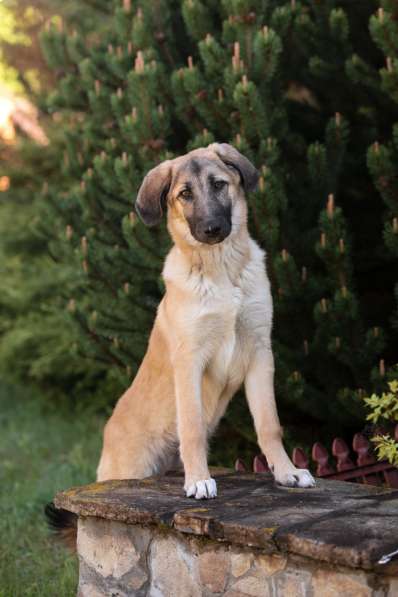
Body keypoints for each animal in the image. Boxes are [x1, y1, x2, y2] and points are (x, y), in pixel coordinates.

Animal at [95, 142, 316, 496]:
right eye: (185, 194)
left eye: (218, 184)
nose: (212, 228)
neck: (221, 269)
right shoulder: (190, 360)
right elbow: (193, 427)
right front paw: (199, 479)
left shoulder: (259, 352)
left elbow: (269, 424)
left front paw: (288, 472)